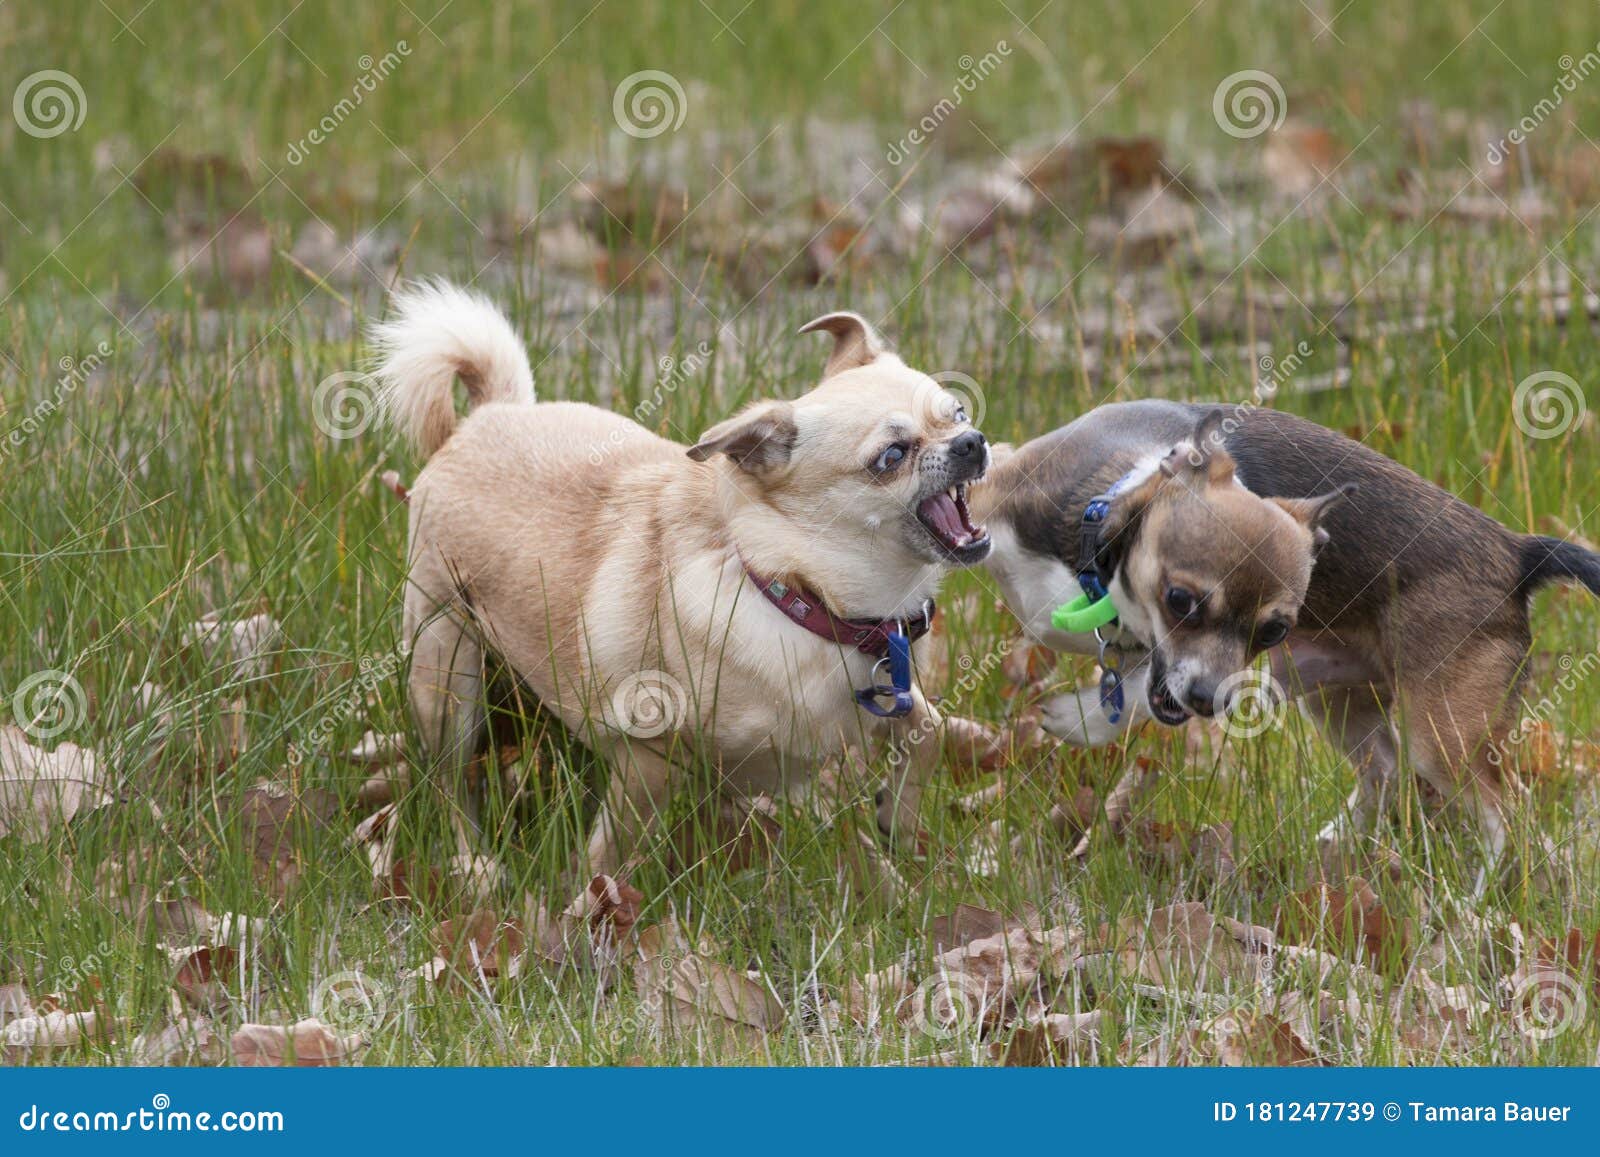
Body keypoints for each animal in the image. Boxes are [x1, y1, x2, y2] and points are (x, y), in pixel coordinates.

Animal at [371, 283, 985, 896]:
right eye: (891, 457)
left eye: (958, 412)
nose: (972, 442)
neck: (801, 594)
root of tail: (485, 417)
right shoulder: (650, 758)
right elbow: (608, 855)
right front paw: (588, 910)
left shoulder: (890, 697)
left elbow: (929, 730)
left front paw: (894, 823)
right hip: (447, 675)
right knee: (453, 783)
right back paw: (474, 863)